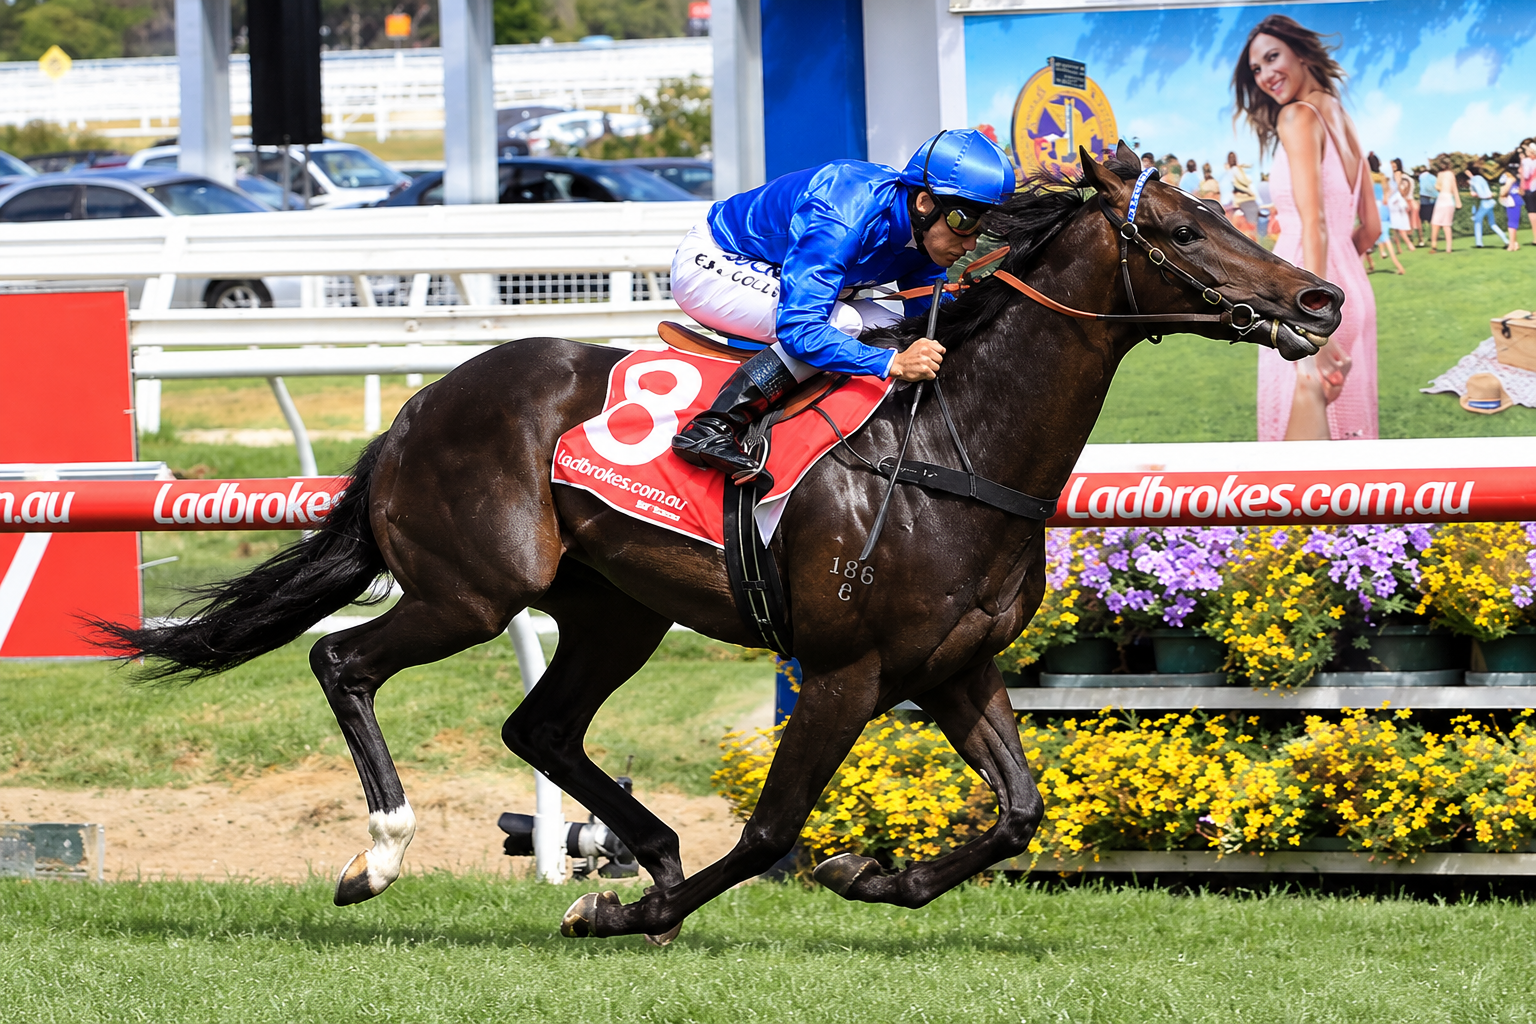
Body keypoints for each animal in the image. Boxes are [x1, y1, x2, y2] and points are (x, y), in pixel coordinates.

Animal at [98, 144, 1342, 942]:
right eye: (1181, 229)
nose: (1320, 300)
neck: (954, 440)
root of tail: (417, 407)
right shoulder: (844, 670)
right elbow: (769, 828)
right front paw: (626, 908)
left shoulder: (954, 665)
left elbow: (1019, 811)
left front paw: (869, 873)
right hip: (476, 590)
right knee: (342, 659)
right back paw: (384, 853)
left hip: (614, 609)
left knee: (539, 724)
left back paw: (643, 844)